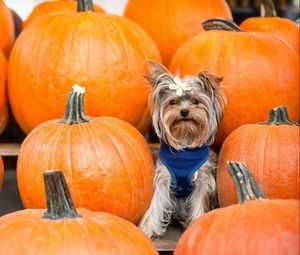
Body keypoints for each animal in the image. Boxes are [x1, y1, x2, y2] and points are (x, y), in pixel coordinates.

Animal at [139, 60, 226, 238]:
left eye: (196, 101)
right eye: (173, 102)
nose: (184, 111)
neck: (185, 140)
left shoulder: (203, 179)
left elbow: (199, 201)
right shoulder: (163, 177)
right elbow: (157, 201)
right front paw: (148, 228)